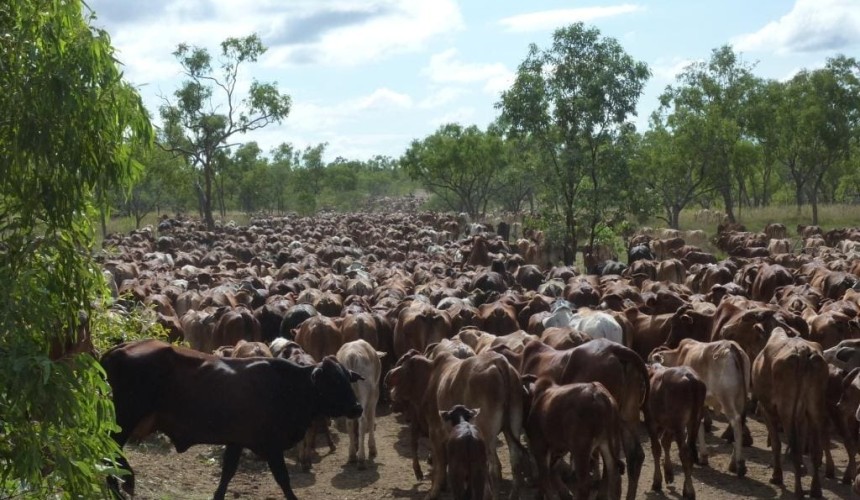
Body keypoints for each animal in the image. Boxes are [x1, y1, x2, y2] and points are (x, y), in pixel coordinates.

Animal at [101, 339, 363, 500]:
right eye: (333, 382)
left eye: (347, 378)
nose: (357, 408)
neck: (288, 386)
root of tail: (119, 349)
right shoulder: (271, 445)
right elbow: (283, 479)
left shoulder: (237, 441)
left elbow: (227, 473)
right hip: (125, 419)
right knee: (109, 451)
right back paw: (125, 482)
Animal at [336, 340, 385, 469]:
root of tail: (351, 356)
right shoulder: (374, 396)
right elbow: (371, 419)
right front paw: (372, 448)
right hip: (366, 390)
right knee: (363, 420)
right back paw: (361, 459)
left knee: (349, 422)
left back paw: (352, 455)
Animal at [752, 328, 828, 498]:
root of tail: (802, 350)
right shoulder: (801, 417)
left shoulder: (767, 410)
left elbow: (776, 444)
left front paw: (776, 476)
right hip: (815, 410)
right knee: (815, 451)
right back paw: (815, 490)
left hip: (786, 410)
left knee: (794, 449)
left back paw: (798, 491)